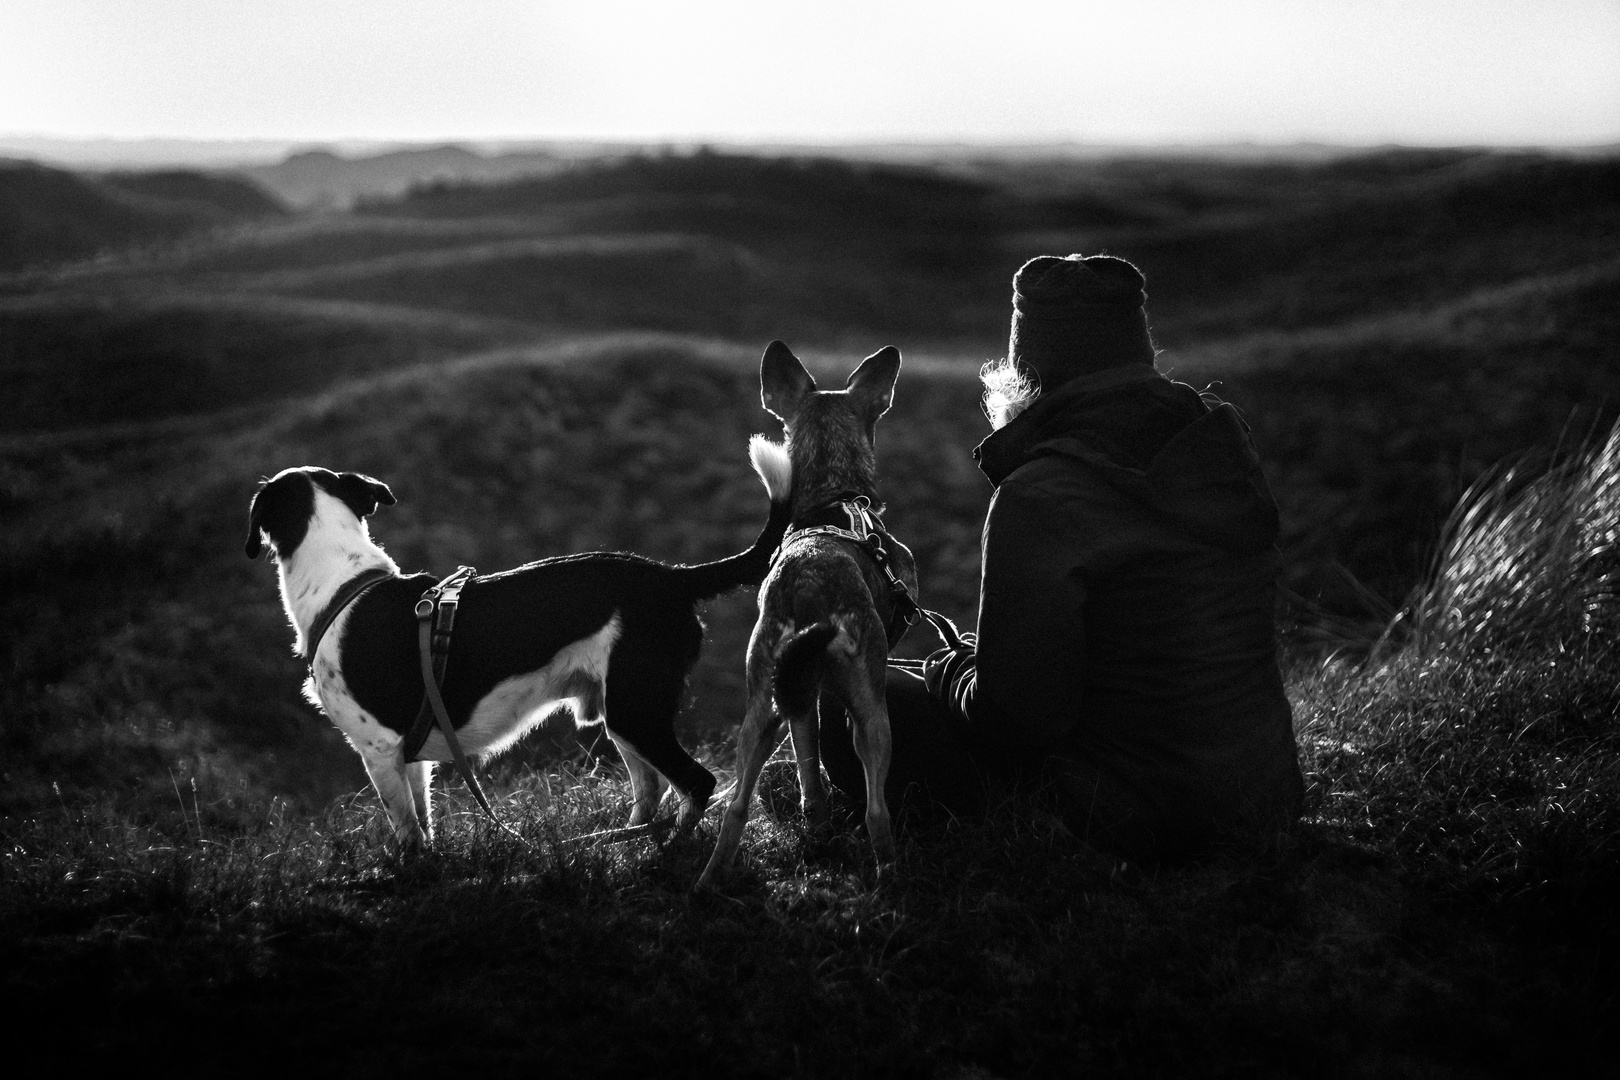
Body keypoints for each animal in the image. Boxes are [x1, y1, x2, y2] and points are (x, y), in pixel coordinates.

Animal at [244, 450, 790, 854]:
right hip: (622, 714)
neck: (344, 586)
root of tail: (674, 576)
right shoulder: (408, 755)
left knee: (696, 782)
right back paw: (625, 841)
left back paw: (670, 848)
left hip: (636, 710)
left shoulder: (378, 749)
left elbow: (408, 835)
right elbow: (423, 819)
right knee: (650, 791)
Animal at [699, 340, 920, 887]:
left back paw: (708, 883)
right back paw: (890, 877)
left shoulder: (794, 695)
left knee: (736, 807)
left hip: (761, 702)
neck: (835, 500)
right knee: (877, 811)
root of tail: (807, 589)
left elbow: (807, 768)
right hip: (871, 711)